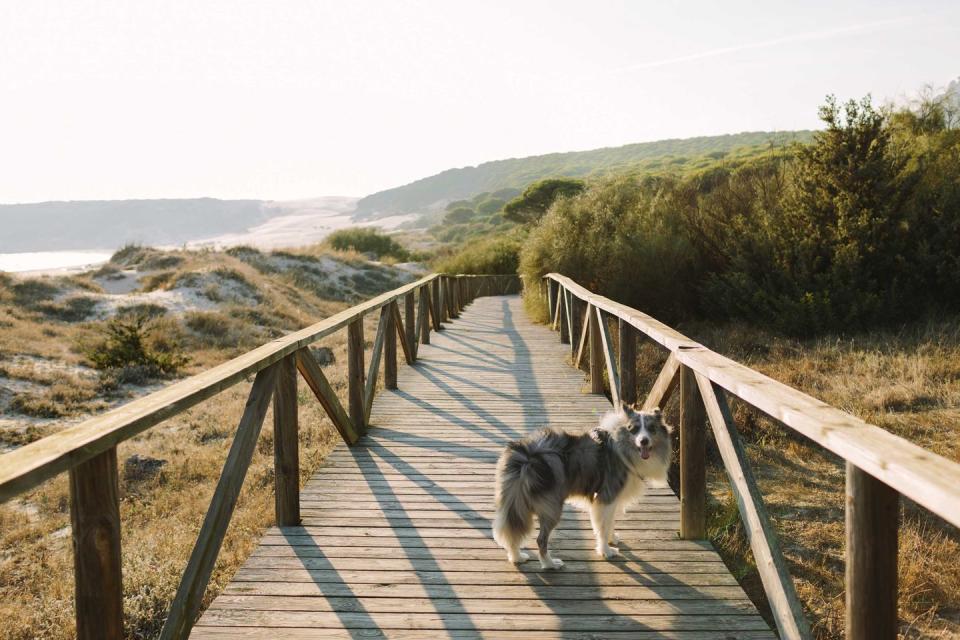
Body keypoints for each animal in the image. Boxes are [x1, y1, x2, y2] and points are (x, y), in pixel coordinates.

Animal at [492, 404, 672, 568]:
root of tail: (526, 457)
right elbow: (603, 527)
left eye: (651, 428)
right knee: (540, 539)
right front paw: (606, 551)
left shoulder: (612, 500)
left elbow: (610, 522)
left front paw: (612, 539)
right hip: (552, 507)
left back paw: (517, 557)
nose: (644, 441)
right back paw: (550, 563)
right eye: (633, 429)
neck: (623, 447)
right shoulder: (607, 497)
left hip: (517, 504)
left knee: (513, 532)